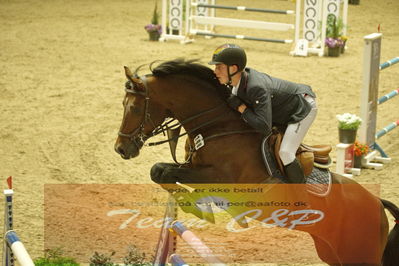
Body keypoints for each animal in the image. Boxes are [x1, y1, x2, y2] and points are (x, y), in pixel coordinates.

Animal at [114, 59, 398, 264]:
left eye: (135, 108)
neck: (219, 126)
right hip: (334, 253)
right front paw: (198, 206)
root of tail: (377, 202)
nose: (121, 149)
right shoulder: (192, 168)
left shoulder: (220, 179)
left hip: (360, 255)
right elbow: (159, 171)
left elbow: (164, 173)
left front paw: (200, 208)